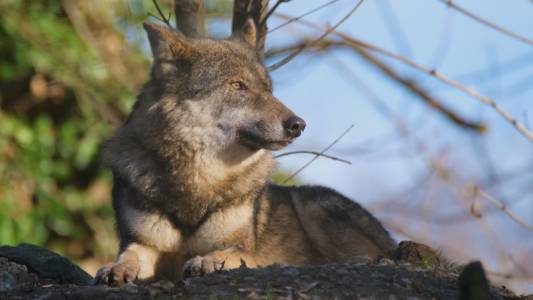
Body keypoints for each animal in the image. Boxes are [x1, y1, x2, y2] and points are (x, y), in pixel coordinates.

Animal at [94, 19, 394, 284]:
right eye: (238, 85)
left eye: (268, 89)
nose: (298, 125)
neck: (197, 179)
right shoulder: (145, 243)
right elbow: (129, 255)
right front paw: (116, 268)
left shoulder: (243, 249)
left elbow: (225, 253)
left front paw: (207, 261)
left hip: (316, 208)